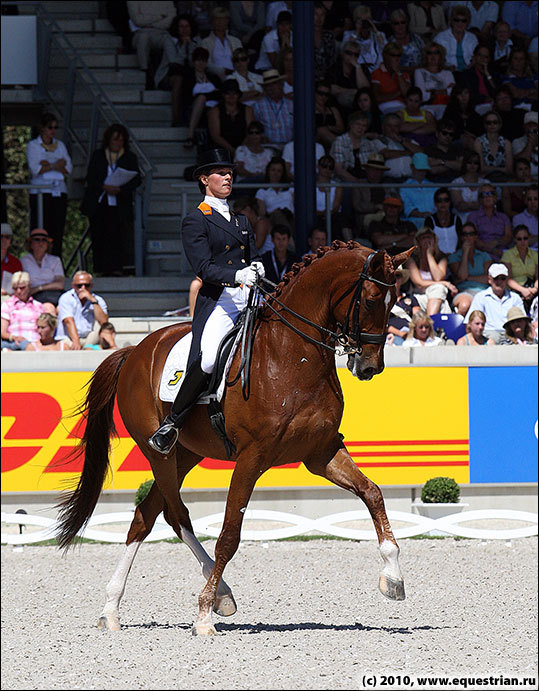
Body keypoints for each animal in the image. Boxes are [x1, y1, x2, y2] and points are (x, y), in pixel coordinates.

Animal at [56, 241, 414, 636]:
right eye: (371, 300)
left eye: (395, 300)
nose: (370, 367)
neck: (293, 356)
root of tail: (135, 350)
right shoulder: (252, 457)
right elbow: (229, 535)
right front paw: (202, 615)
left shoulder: (322, 452)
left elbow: (372, 493)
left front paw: (393, 578)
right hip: (161, 453)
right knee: (177, 513)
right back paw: (217, 596)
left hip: (187, 453)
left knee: (146, 515)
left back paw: (113, 608)